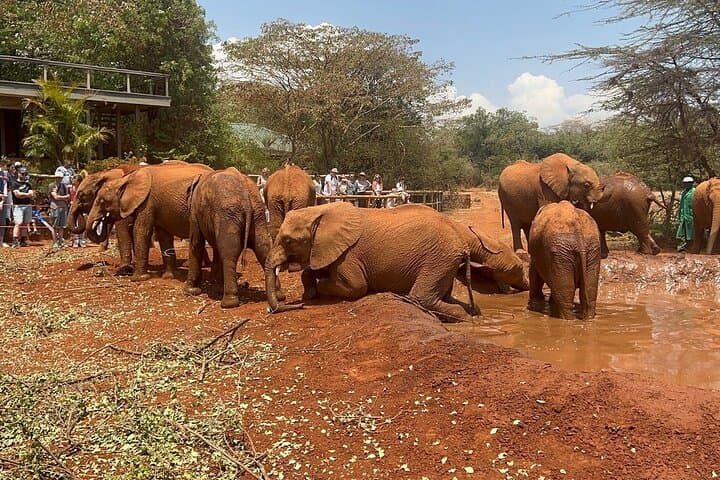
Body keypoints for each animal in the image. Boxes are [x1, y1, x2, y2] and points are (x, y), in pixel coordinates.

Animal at [185, 167, 279, 308]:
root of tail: (246, 194)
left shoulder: (195, 211)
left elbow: (196, 243)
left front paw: (190, 291)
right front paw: (216, 285)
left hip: (228, 215)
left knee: (230, 253)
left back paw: (228, 303)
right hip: (258, 214)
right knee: (263, 249)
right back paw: (280, 296)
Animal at [264, 202, 479, 322]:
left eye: (288, 240)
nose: (297, 305)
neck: (321, 211)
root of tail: (462, 242)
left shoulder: (349, 254)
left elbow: (356, 287)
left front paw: (318, 288)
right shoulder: (327, 248)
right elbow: (316, 269)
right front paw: (309, 294)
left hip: (438, 258)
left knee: (422, 298)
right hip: (445, 261)